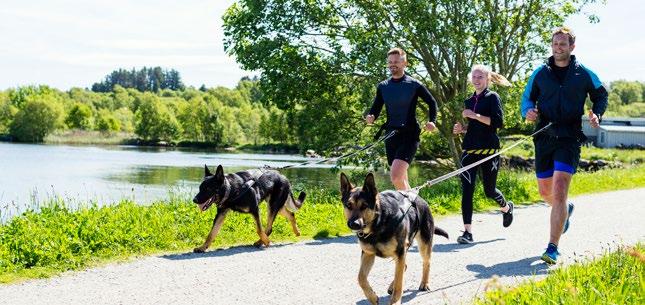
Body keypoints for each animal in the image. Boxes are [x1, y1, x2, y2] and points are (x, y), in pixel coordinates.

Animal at [338, 172, 448, 302]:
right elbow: (361, 278)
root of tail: (421, 200)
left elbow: (399, 283)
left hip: (422, 246)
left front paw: (395, 301)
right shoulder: (368, 254)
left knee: (426, 263)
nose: (354, 224)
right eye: (349, 205)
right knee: (404, 266)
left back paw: (424, 283)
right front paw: (372, 297)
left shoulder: (400, 252)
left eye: (364, 206)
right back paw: (392, 286)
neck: (378, 223)